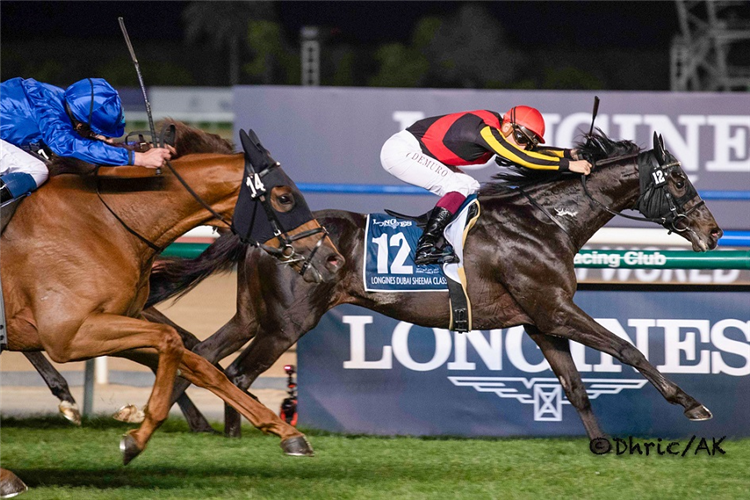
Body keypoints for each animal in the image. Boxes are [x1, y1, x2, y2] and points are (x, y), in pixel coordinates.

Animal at [0, 122, 346, 496]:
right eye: (284, 197)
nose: (333, 259)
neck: (102, 222)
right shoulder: (68, 334)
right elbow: (170, 339)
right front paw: (136, 435)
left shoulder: (113, 321)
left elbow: (200, 363)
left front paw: (288, 434)